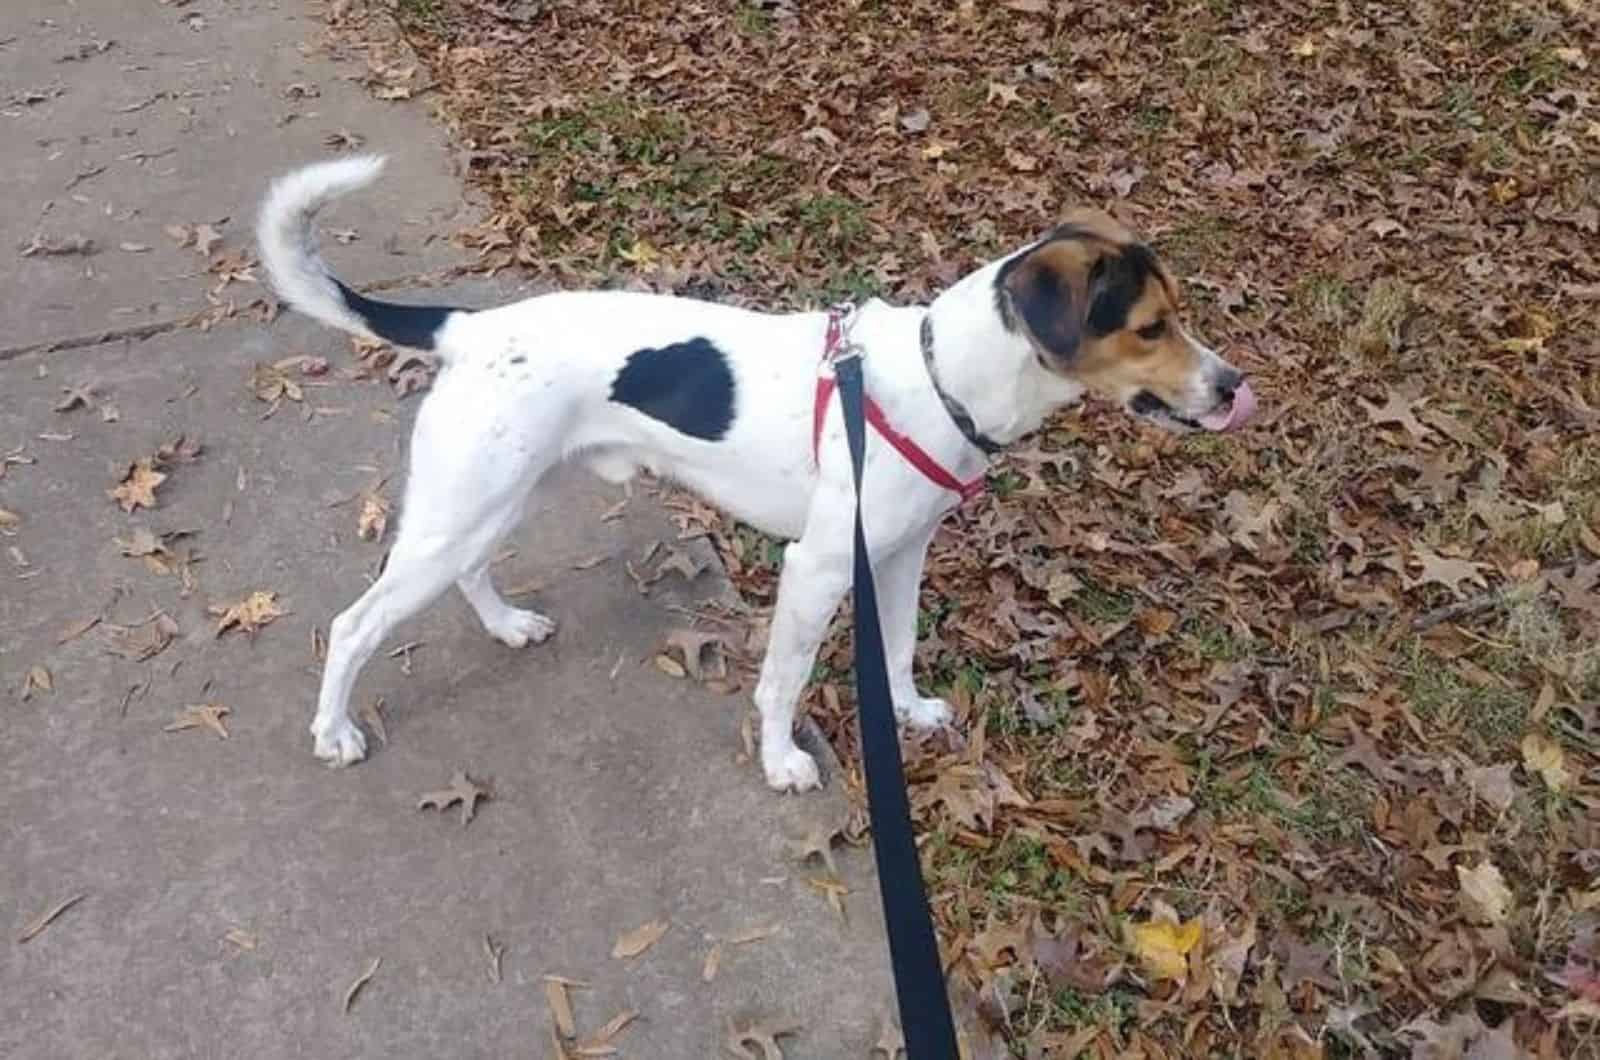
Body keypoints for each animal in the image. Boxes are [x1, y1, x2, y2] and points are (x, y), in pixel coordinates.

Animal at [259, 156, 1260, 787]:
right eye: (1150, 329)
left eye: (1177, 317)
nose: (1233, 387)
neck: (941, 378)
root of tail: (469, 327)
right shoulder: (816, 569)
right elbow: (784, 680)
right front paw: (781, 762)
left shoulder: (901, 557)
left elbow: (898, 649)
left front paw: (907, 714)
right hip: (460, 508)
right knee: (353, 625)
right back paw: (333, 731)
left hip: (501, 497)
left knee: (470, 571)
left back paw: (506, 626)